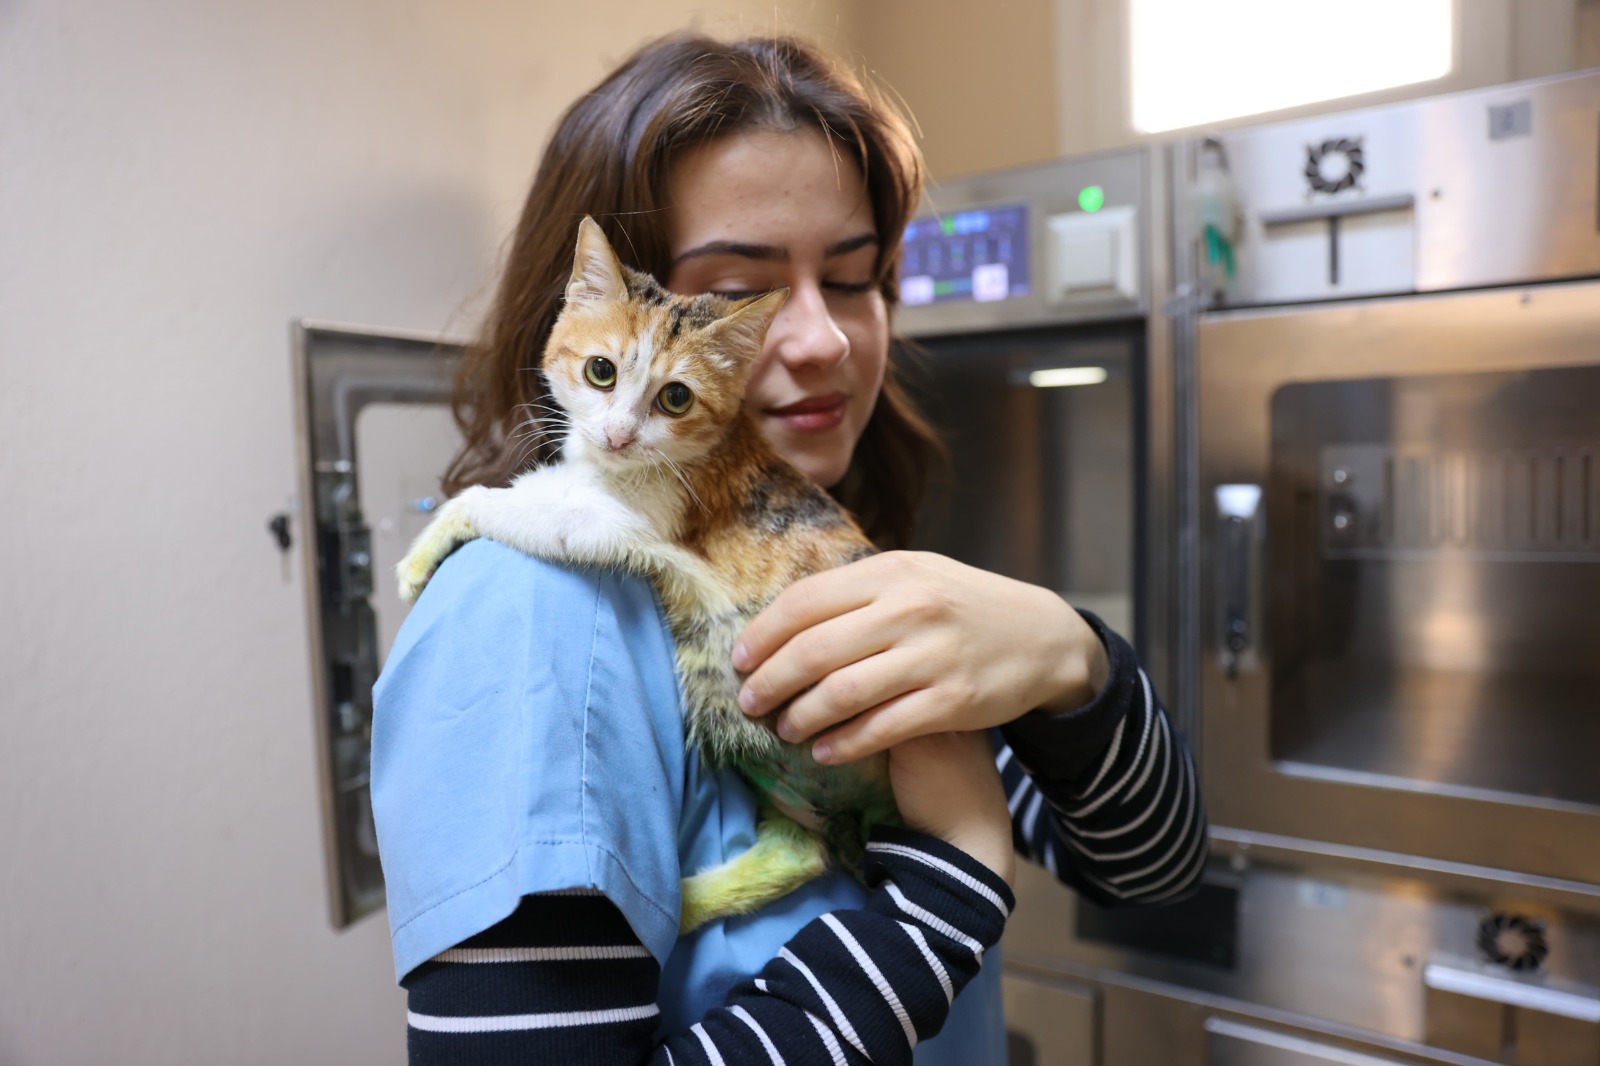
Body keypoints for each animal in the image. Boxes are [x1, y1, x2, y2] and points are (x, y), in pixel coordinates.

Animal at [396, 216, 902, 928]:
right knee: (799, 853)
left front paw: (428, 545)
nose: (618, 436)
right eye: (601, 371)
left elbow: (522, 505)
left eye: (676, 397)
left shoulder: (628, 525)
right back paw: (681, 905)